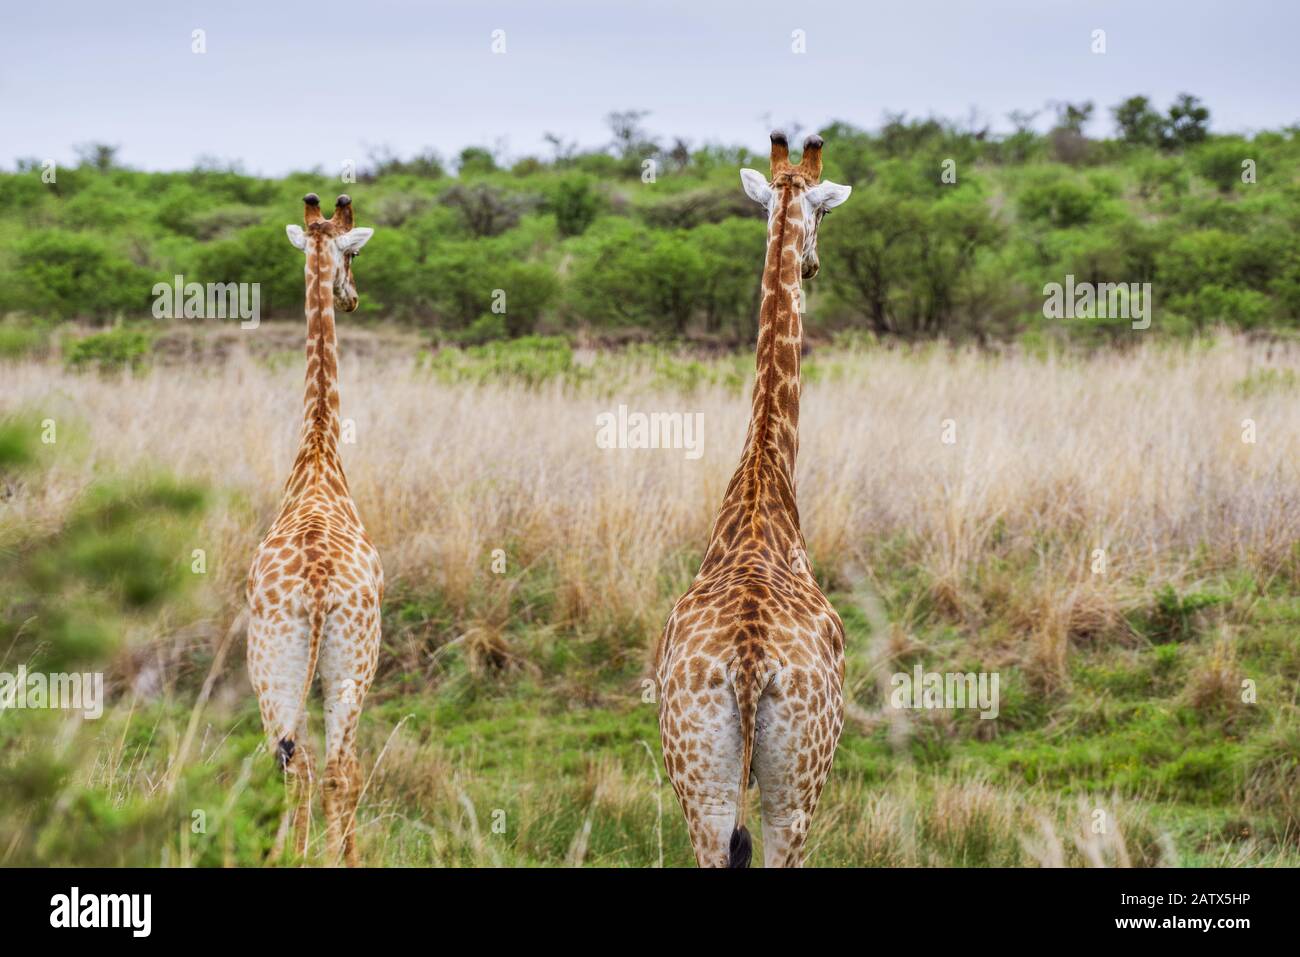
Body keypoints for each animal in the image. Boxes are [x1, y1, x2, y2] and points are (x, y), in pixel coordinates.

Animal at [660, 132, 852, 868]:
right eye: (824, 212)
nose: (814, 265)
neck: (763, 477)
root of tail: (746, 663)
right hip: (796, 786)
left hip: (701, 783)